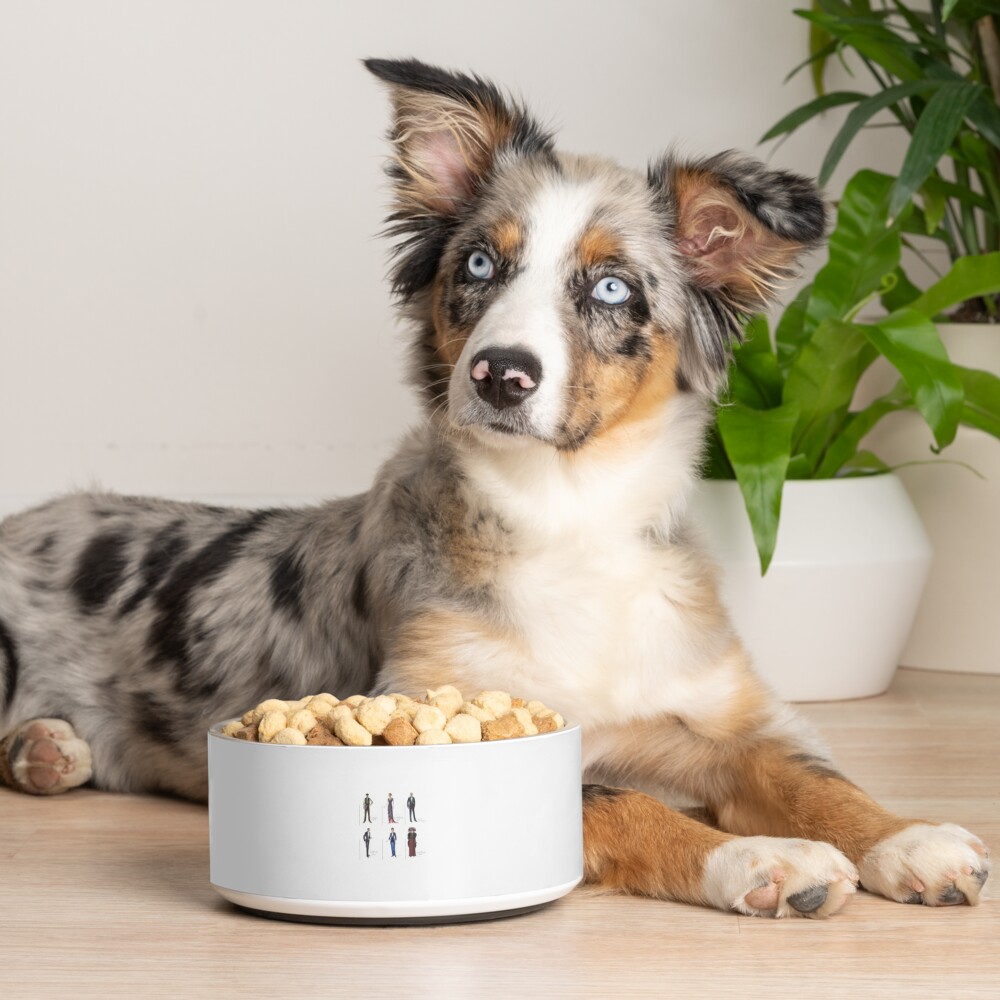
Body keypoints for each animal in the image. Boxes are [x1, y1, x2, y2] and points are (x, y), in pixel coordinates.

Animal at [0, 52, 988, 916]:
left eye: (613, 289)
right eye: (479, 264)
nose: (501, 374)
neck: (570, 513)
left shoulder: (721, 715)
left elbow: (808, 776)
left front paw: (909, 838)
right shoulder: (437, 706)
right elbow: (616, 801)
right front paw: (761, 858)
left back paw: (47, 750)